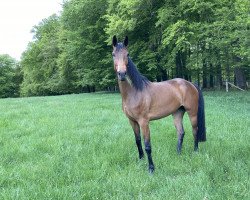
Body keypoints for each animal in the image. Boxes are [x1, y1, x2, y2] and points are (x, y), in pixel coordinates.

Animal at [112, 35, 206, 173]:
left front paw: (151, 168)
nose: (122, 74)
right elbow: (138, 141)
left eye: (127, 54)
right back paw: (178, 153)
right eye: (113, 54)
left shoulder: (144, 122)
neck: (134, 92)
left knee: (195, 131)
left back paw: (195, 152)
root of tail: (190, 84)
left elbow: (147, 145)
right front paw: (141, 159)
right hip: (177, 113)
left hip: (192, 113)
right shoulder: (132, 121)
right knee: (181, 132)